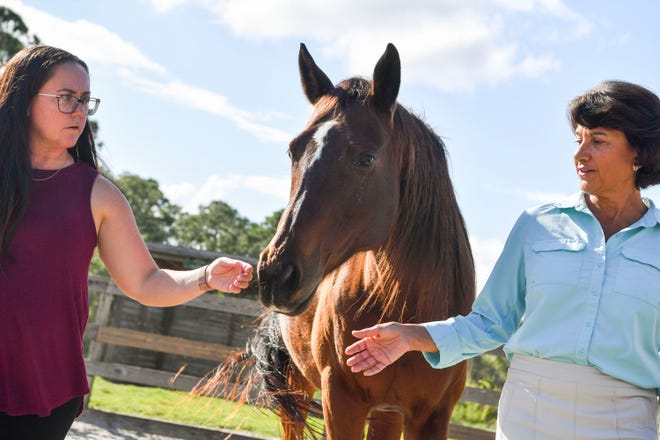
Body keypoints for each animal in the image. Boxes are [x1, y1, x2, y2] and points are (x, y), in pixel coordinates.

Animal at [250, 43, 472, 440]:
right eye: (293, 150)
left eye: (366, 158)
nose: (276, 273)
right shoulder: (341, 401)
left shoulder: (433, 415)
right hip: (297, 390)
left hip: (386, 413)